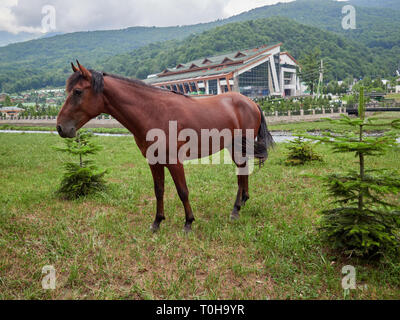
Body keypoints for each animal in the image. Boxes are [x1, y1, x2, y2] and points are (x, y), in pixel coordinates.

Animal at [56, 62, 274, 232]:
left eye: (77, 91)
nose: (60, 127)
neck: (153, 112)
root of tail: (251, 102)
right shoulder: (154, 161)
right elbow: (159, 190)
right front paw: (157, 222)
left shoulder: (174, 161)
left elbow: (182, 190)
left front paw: (188, 222)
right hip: (233, 147)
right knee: (242, 172)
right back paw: (241, 202)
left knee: (241, 172)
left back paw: (236, 209)